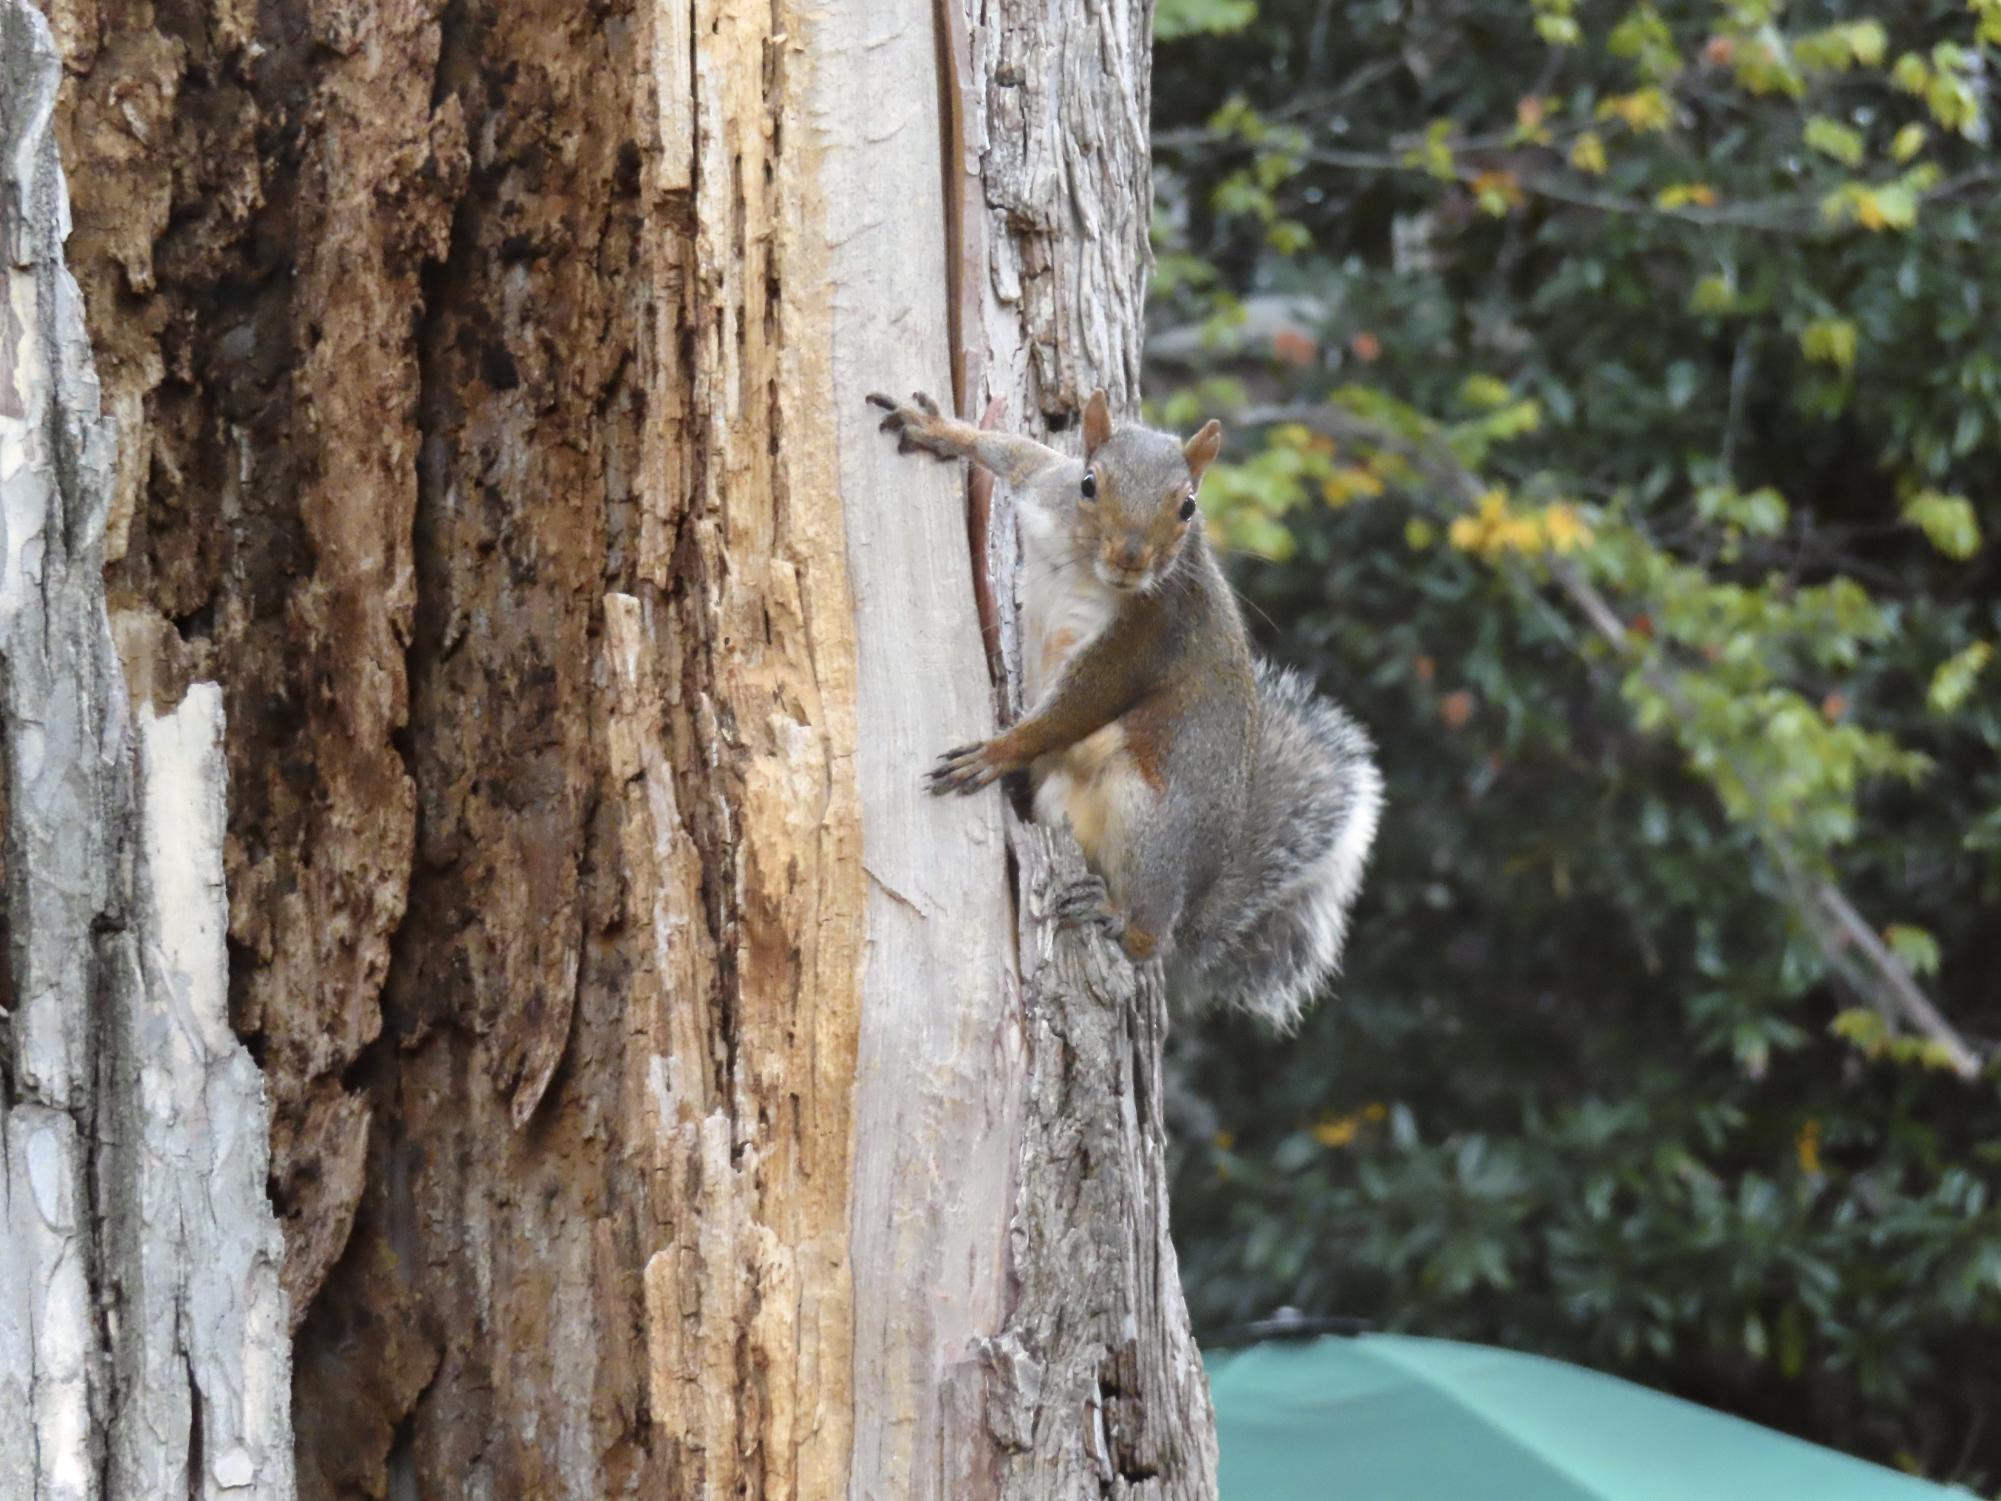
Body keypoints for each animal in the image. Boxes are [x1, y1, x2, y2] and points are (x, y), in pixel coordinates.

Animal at [868, 384, 1384, 1032]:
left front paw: (997, 751)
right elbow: (1013, 451)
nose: (1132, 558)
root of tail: (1197, 901)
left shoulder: (1145, 634)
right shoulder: (1047, 487)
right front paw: (938, 429)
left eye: (1188, 506)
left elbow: (1075, 707)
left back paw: (1117, 916)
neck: (1085, 566)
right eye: (1090, 483)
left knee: (1150, 937)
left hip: (1151, 821)